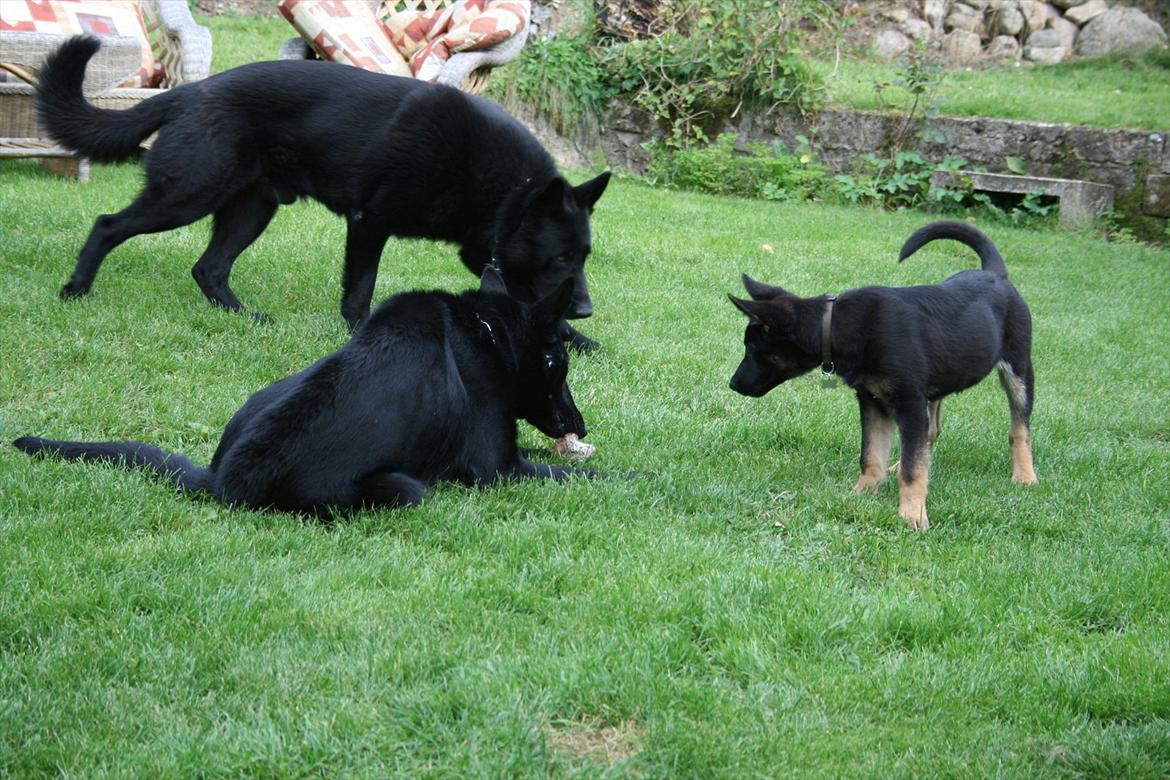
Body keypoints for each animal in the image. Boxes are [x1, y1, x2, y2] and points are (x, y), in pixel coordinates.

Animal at [11, 268, 594, 519]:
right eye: (560, 365)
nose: (582, 426)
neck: (489, 336)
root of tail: (219, 478)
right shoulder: (500, 470)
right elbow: (588, 475)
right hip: (400, 488)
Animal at [725, 222, 1038, 533]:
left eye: (752, 349)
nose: (733, 384)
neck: (835, 325)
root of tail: (996, 274)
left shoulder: (909, 402)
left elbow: (913, 470)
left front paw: (912, 514)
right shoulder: (873, 400)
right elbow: (872, 455)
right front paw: (861, 493)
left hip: (1018, 369)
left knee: (1019, 429)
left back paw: (1025, 475)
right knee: (930, 432)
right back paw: (899, 464)